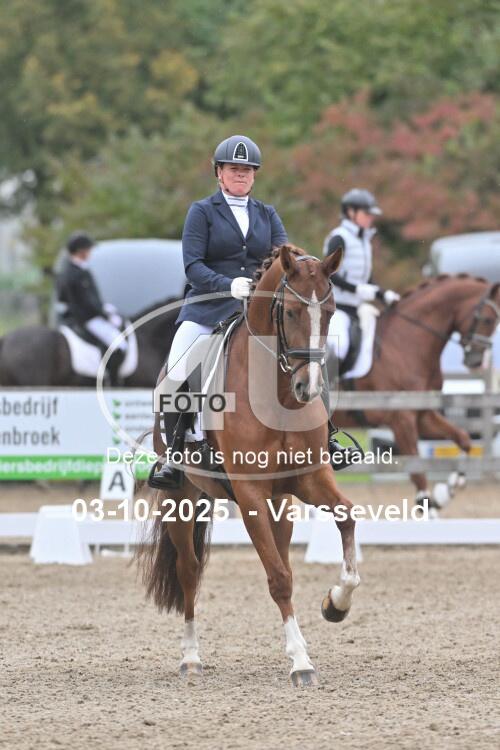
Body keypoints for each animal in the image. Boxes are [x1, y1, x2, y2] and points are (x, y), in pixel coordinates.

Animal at [137, 243, 361, 686]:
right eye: (289, 312)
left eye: (329, 313)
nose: (308, 388)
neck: (278, 395)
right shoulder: (251, 493)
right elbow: (279, 578)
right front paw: (301, 663)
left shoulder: (309, 479)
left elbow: (345, 519)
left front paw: (335, 604)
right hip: (182, 498)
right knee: (189, 570)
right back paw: (191, 658)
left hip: (282, 503)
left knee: (283, 552)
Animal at [333, 274, 500, 508]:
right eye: (487, 320)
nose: (475, 360)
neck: (406, 342)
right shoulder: (401, 419)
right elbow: (419, 476)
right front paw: (433, 503)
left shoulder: (423, 415)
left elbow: (464, 439)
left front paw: (448, 489)